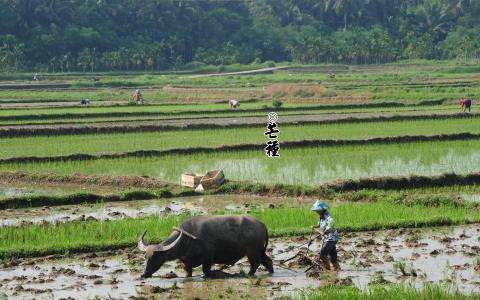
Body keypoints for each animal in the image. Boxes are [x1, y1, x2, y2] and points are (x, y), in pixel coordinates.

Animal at [139, 214, 274, 278]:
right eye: (145, 257)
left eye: (154, 257)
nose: (143, 274)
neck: (186, 240)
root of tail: (262, 224)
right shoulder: (186, 262)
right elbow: (188, 272)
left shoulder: (208, 257)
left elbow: (206, 271)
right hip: (260, 251)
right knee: (268, 261)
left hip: (252, 251)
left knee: (255, 264)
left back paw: (249, 274)